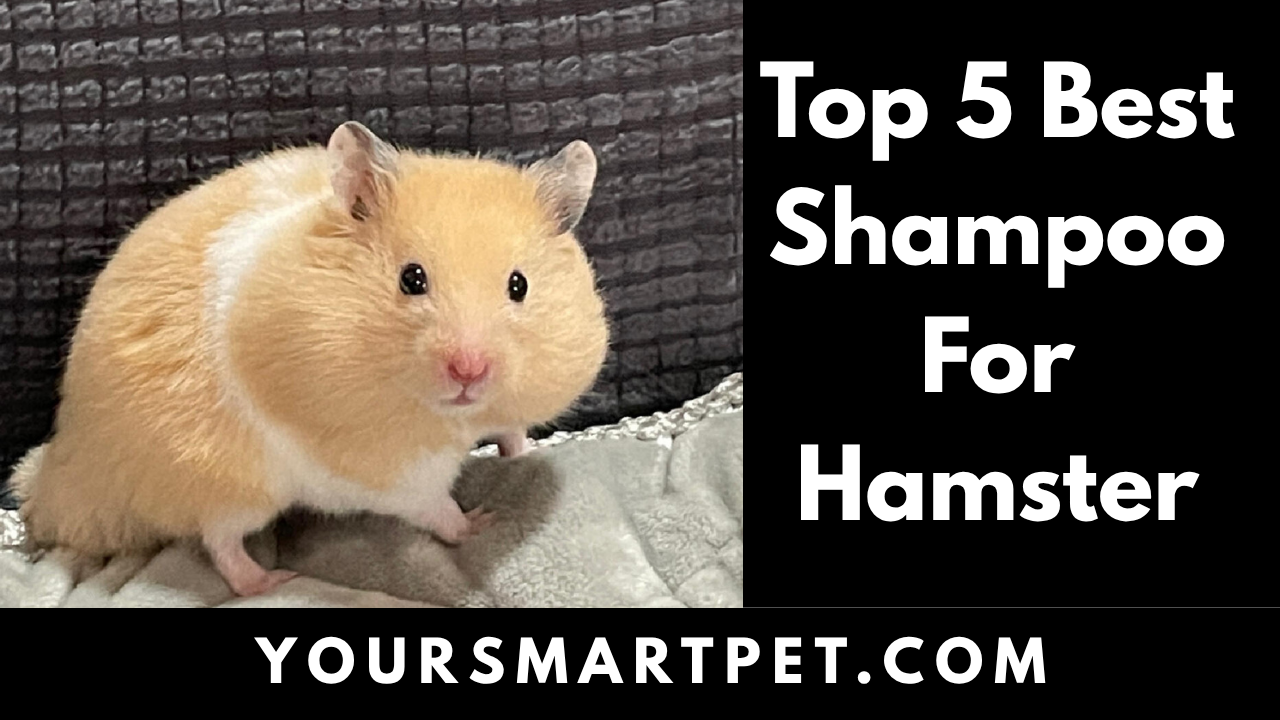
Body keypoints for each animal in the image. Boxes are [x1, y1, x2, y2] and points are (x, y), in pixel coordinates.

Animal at [11, 122, 609, 596]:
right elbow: (434, 507)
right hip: (231, 485)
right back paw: (271, 581)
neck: (448, 416)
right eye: (411, 279)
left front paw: (517, 451)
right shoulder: (387, 468)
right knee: (221, 543)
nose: (469, 371)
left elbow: (509, 429)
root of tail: (71, 463)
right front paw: (480, 522)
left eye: (519, 285)